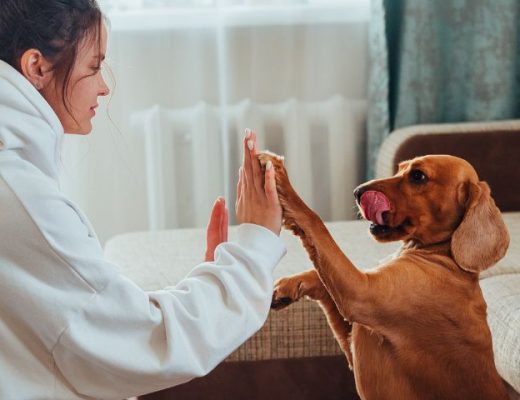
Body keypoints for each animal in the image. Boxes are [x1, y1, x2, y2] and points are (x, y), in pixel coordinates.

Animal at [260, 153, 508, 400]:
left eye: (418, 176)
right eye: (399, 169)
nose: (357, 191)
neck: (442, 255)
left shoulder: (359, 293)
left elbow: (314, 222)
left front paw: (280, 178)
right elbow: (319, 275)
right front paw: (287, 287)